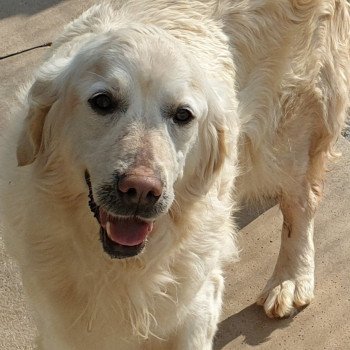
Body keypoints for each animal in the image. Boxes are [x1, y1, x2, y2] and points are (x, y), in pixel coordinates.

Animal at [0, 0, 350, 350]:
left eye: (183, 115)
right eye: (102, 102)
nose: (141, 190)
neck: (124, 266)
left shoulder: (197, 307)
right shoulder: (60, 325)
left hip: (289, 135)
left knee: (300, 204)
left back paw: (290, 278)